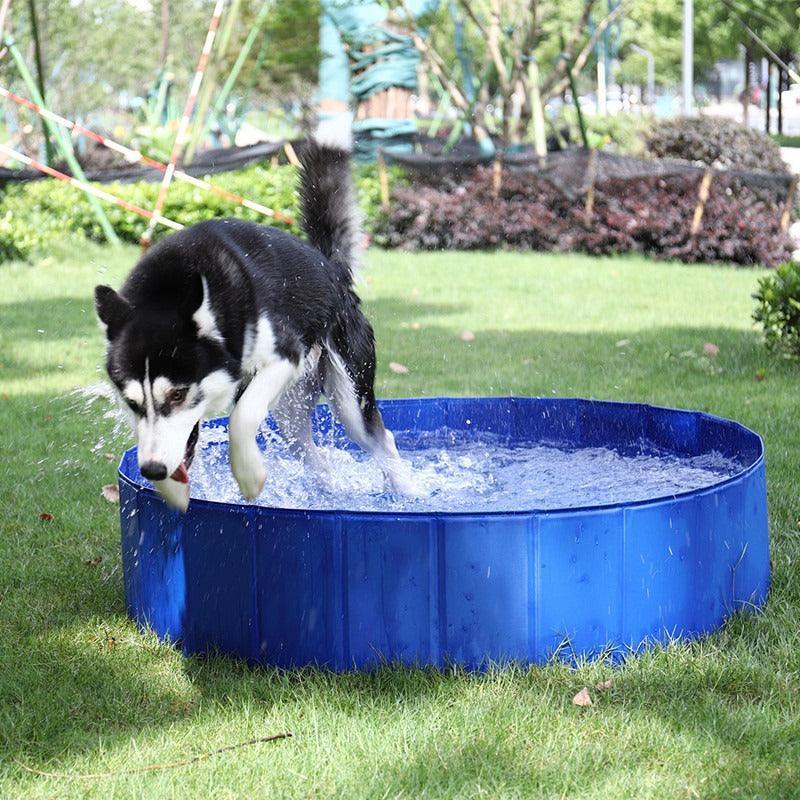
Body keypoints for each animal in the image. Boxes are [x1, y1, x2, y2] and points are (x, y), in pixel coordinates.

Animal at [95, 125, 412, 512]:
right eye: (132, 403)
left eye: (178, 394)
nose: (152, 469)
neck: (168, 291)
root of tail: (329, 267)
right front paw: (171, 488)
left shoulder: (284, 356)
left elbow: (241, 417)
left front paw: (248, 475)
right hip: (291, 414)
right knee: (317, 458)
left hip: (349, 397)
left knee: (382, 439)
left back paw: (411, 492)